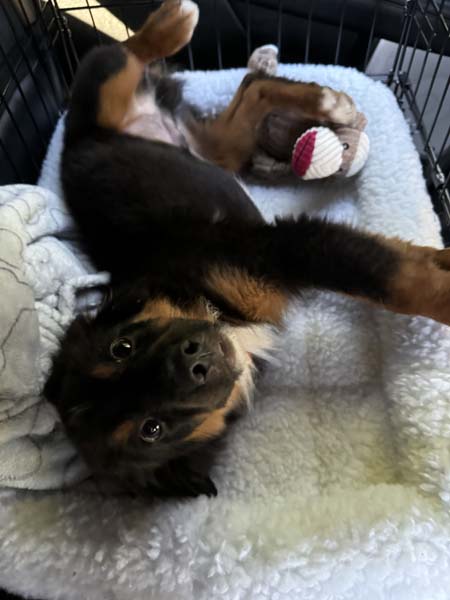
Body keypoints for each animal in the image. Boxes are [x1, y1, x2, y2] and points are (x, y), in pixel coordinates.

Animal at [44, 0, 450, 498]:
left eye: (120, 348)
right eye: (151, 429)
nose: (196, 361)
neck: (215, 311)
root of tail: (79, 138)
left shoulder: (277, 245)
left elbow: (396, 279)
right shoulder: (282, 248)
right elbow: (398, 271)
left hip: (106, 101)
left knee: (121, 58)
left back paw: (180, 26)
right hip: (218, 154)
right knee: (246, 98)